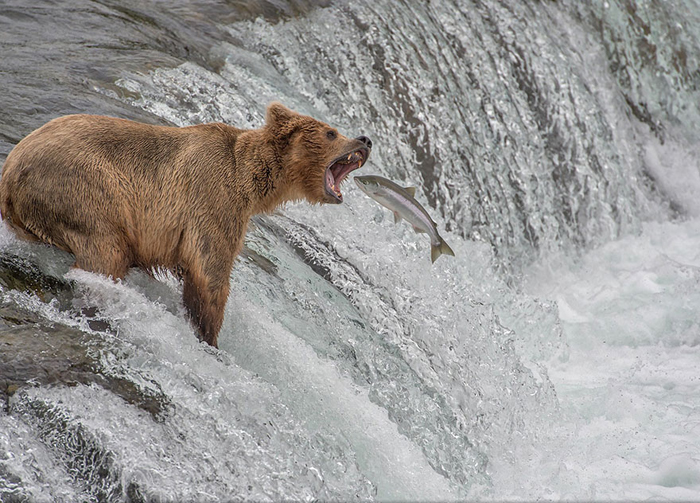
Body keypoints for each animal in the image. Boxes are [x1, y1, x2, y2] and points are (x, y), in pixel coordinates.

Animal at [0, 104, 372, 348]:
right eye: (331, 132)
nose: (365, 139)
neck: (251, 180)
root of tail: (9, 172)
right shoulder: (212, 200)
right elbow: (209, 272)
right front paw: (208, 335)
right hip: (82, 186)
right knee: (106, 250)